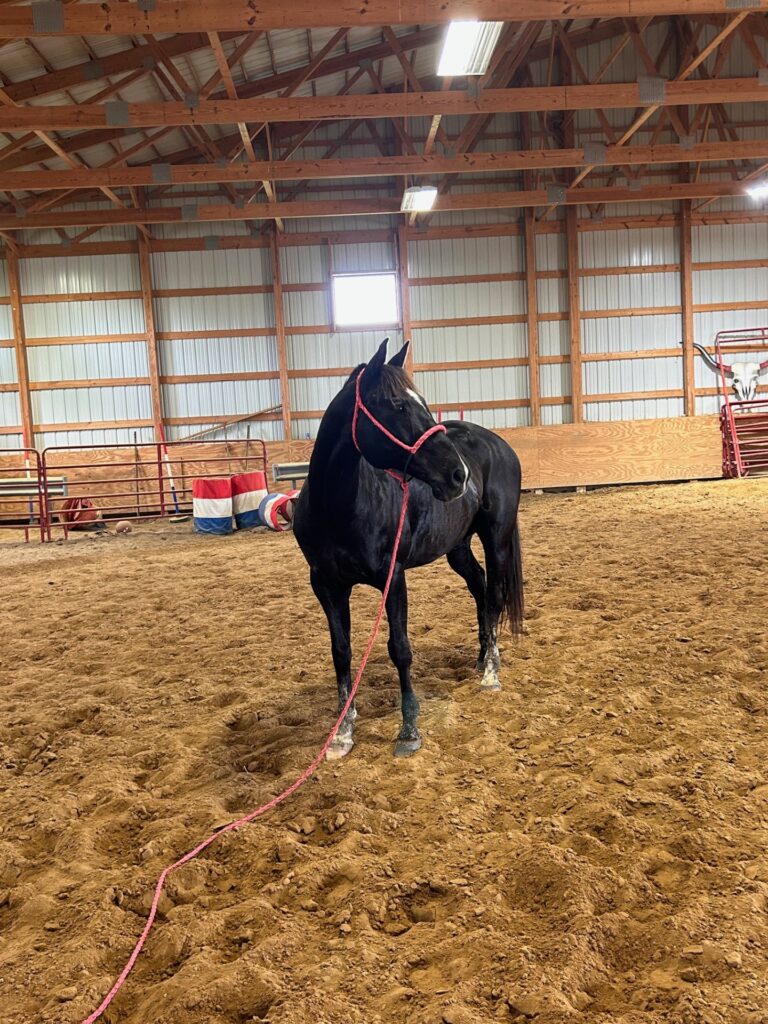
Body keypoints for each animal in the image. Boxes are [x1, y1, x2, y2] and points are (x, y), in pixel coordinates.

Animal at [293, 338, 523, 759]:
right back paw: (481, 657)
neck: (336, 507)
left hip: (496, 539)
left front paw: (408, 730)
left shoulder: (393, 578)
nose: (459, 475)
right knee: (480, 587)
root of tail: (498, 444)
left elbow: (399, 648)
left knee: (495, 595)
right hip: (457, 547)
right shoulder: (327, 586)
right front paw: (343, 732)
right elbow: (341, 652)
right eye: (397, 405)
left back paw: (491, 672)